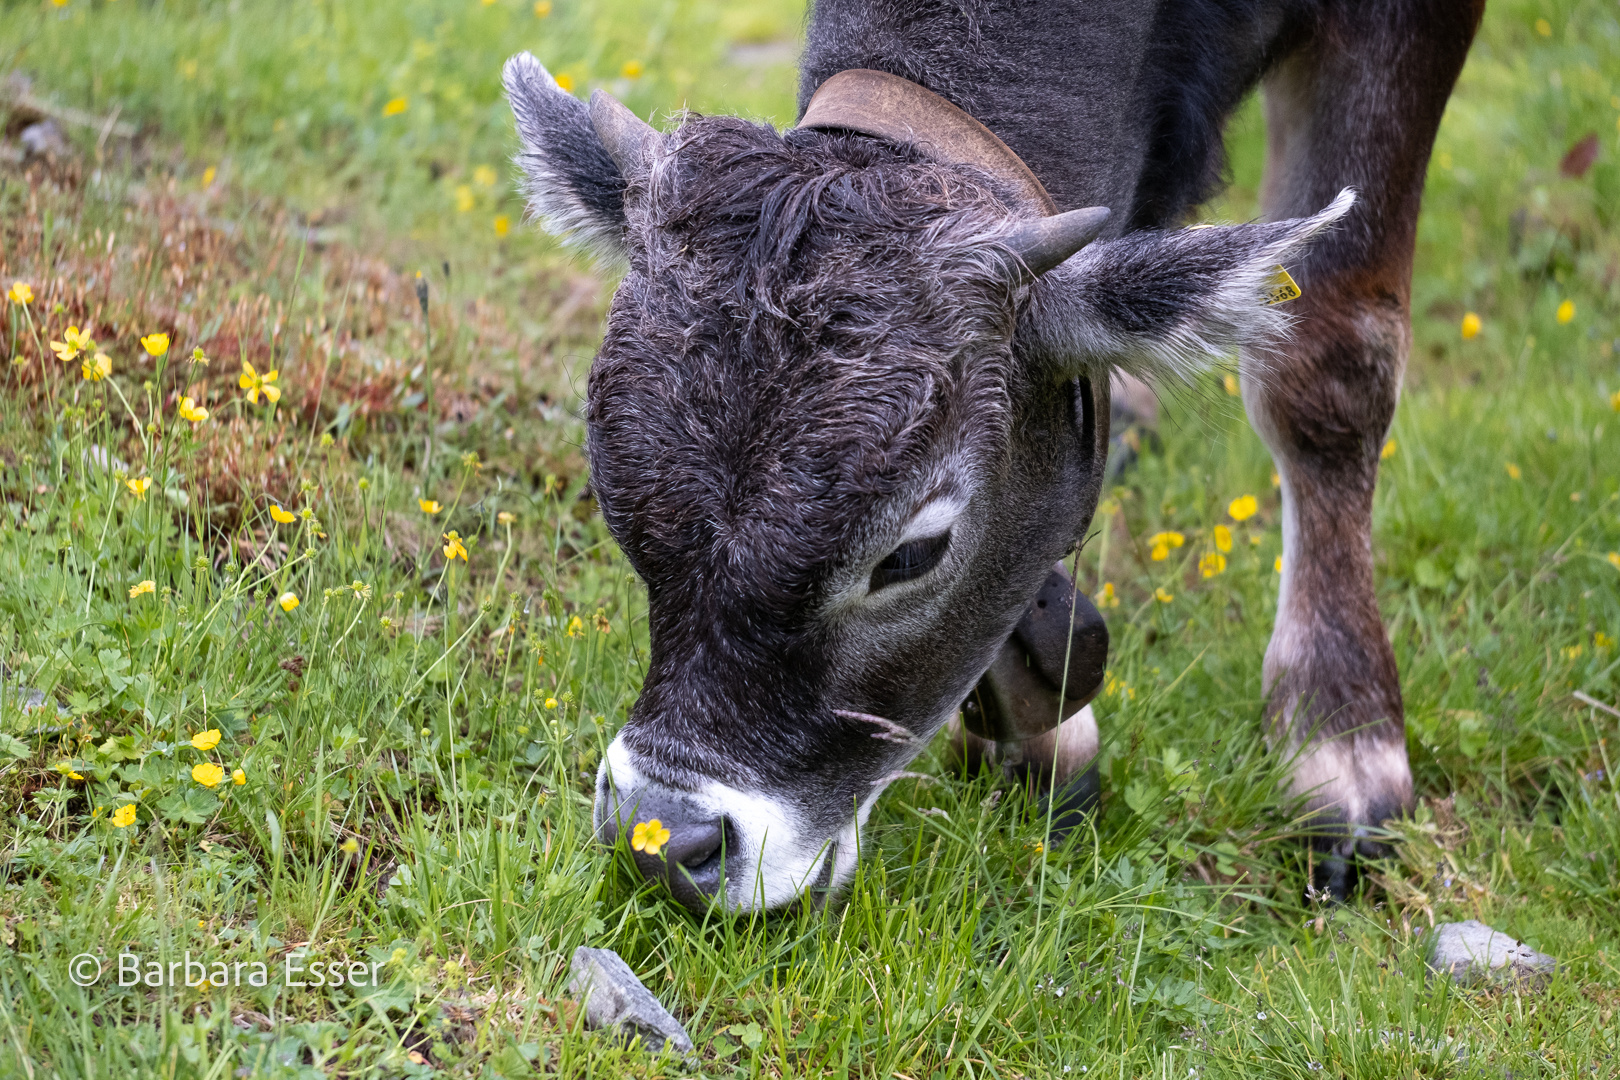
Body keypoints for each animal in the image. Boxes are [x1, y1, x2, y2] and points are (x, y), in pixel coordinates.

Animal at [502, 0, 1483, 913]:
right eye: (615, 504)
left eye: (913, 553)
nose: (664, 838)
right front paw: (1048, 738)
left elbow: (1326, 364)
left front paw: (1340, 744)